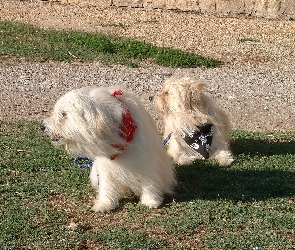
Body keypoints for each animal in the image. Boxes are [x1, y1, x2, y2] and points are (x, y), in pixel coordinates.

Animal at [41, 85, 176, 211]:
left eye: (63, 114)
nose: (42, 127)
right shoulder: (105, 167)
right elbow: (107, 186)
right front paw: (105, 204)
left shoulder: (145, 161)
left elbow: (149, 181)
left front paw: (151, 200)